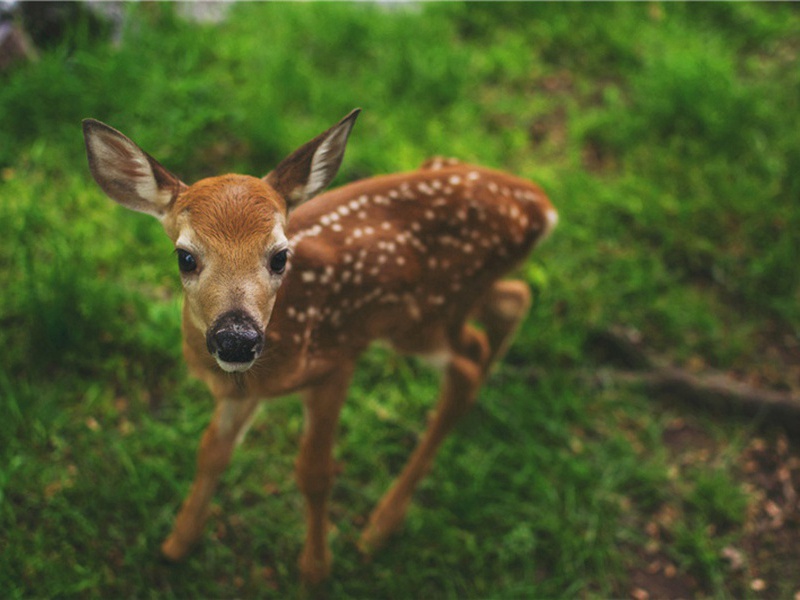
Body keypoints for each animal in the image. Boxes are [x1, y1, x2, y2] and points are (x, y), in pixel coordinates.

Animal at [81, 110, 556, 584]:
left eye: (279, 257)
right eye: (185, 257)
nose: (236, 339)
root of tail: (541, 207)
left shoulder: (335, 361)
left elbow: (314, 472)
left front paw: (315, 568)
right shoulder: (240, 392)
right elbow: (212, 451)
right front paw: (176, 544)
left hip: (424, 316)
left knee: (468, 361)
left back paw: (379, 527)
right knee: (513, 301)